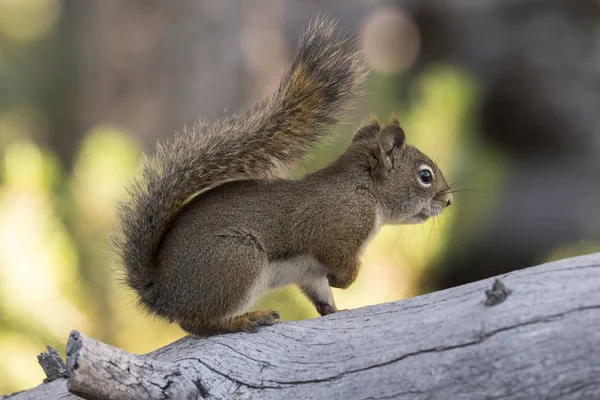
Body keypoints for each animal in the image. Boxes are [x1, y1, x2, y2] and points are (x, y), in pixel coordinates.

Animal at [112, 15, 452, 336]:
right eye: (425, 176)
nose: (448, 201)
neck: (366, 190)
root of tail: (162, 293)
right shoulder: (335, 228)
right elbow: (340, 263)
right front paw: (346, 280)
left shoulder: (311, 272)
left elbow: (320, 291)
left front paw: (334, 308)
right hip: (238, 261)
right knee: (198, 323)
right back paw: (245, 319)